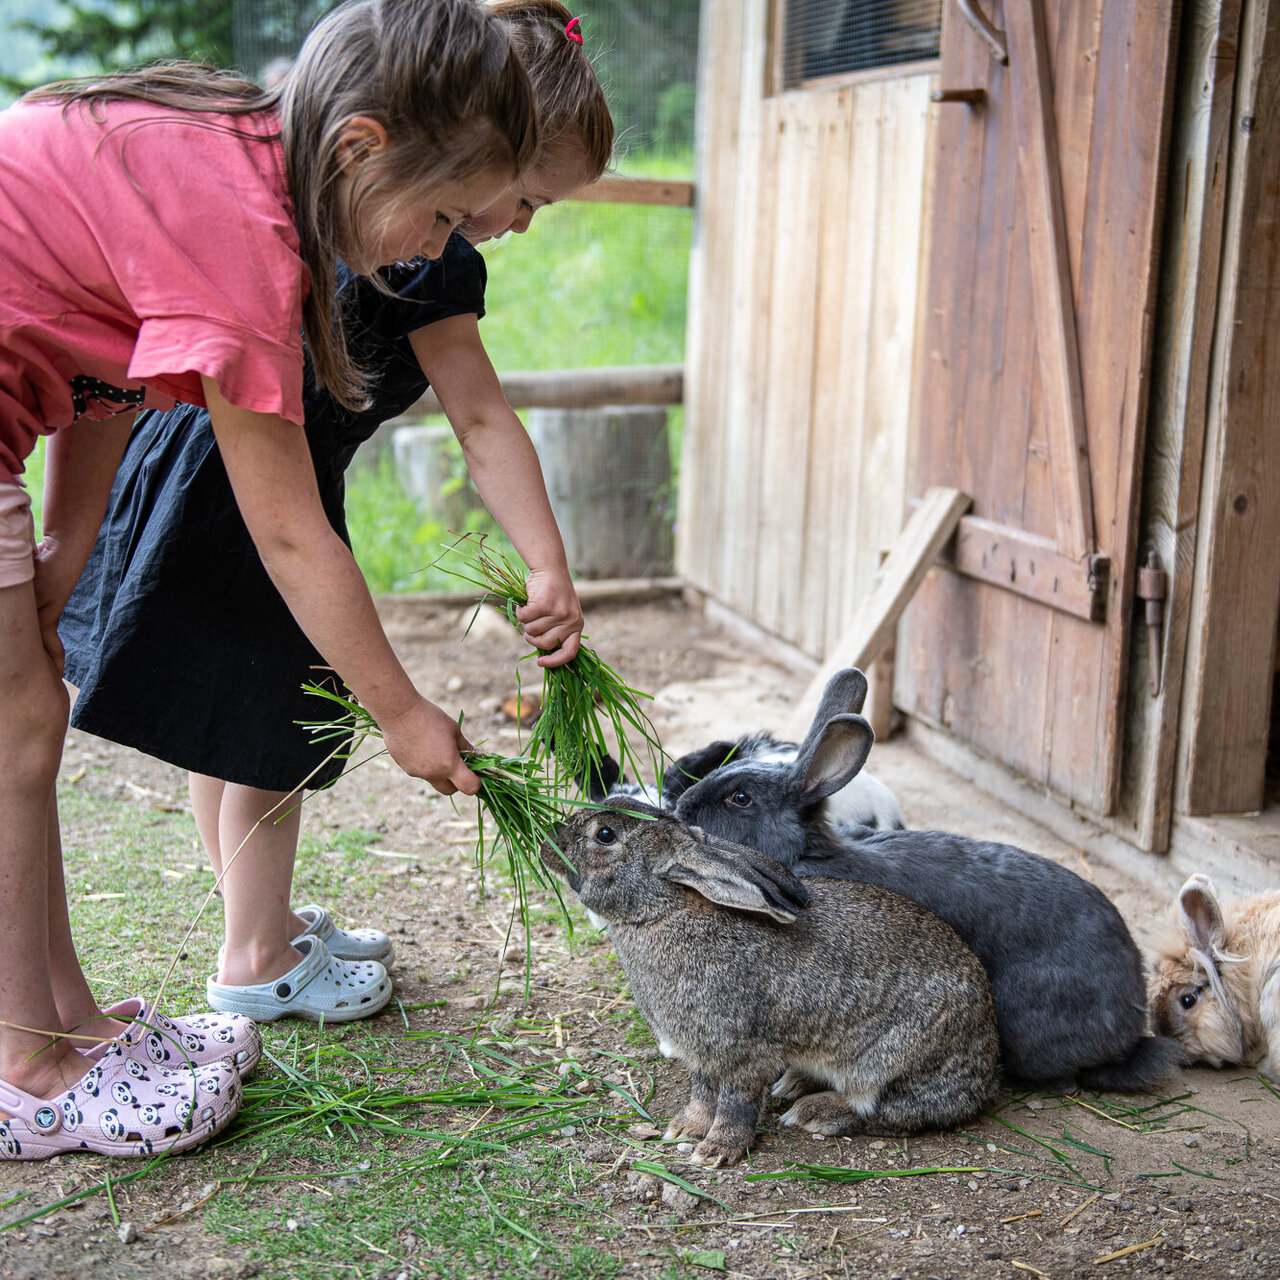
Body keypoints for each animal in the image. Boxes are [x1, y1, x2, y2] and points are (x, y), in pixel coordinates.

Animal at [540, 798, 998, 1172]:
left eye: (604, 835)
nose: (549, 838)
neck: (665, 910)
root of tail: (987, 1061)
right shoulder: (703, 1054)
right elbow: (702, 1093)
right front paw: (684, 1128)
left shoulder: (741, 1051)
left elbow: (735, 1104)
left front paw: (716, 1151)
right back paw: (794, 1083)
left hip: (892, 1061)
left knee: (897, 1113)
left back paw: (817, 1112)